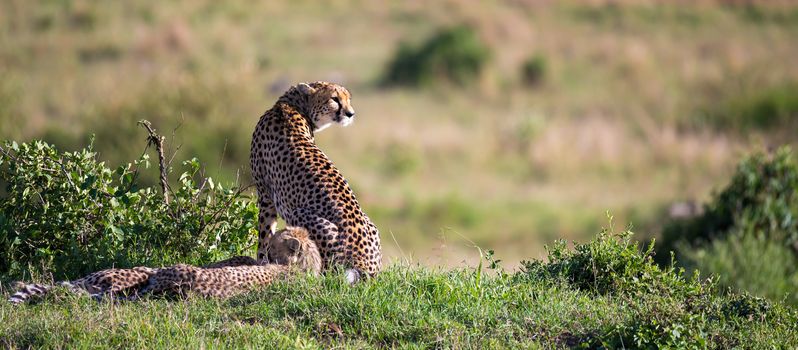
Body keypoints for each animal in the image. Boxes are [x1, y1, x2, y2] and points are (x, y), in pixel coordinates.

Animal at [253, 81, 384, 282]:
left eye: (348, 99)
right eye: (335, 99)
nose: (350, 113)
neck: (290, 105)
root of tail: (366, 264)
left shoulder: (266, 195)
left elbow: (265, 233)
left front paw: (260, 261)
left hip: (299, 214)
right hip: (372, 226)